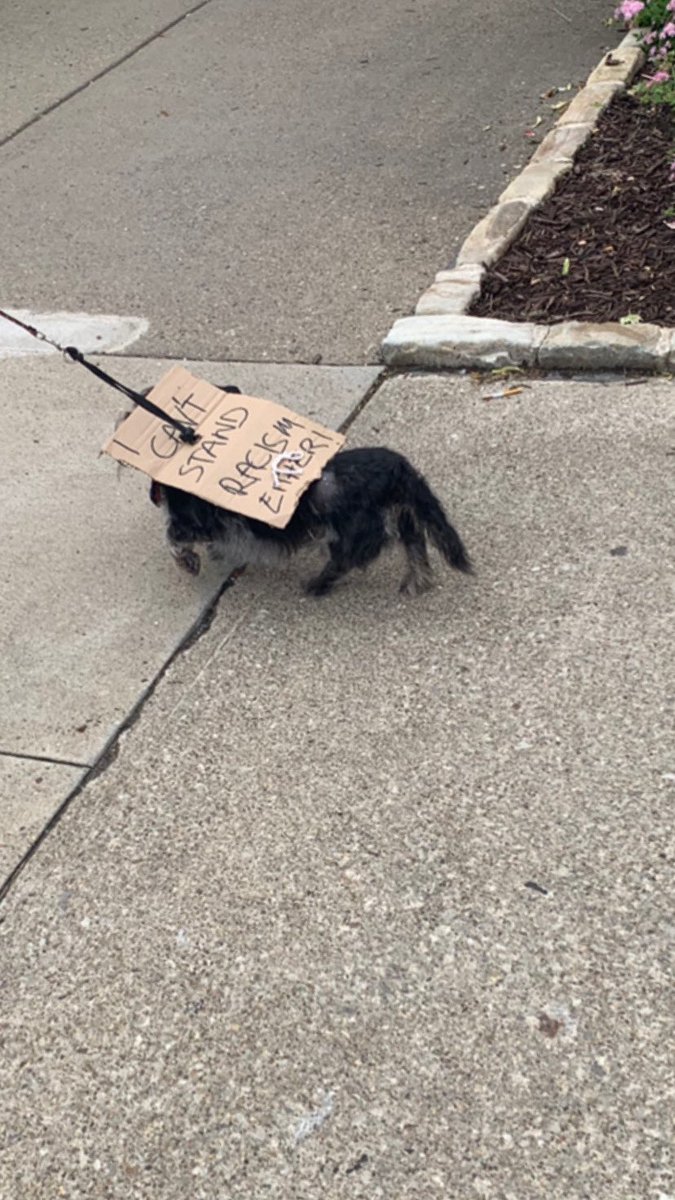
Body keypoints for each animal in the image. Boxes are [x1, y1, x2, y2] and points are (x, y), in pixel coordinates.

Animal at [139, 384, 470, 595]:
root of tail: (397, 468)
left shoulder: (194, 523)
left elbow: (172, 536)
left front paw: (188, 561)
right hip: (404, 516)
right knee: (415, 546)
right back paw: (416, 582)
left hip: (349, 534)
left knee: (345, 561)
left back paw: (317, 586)